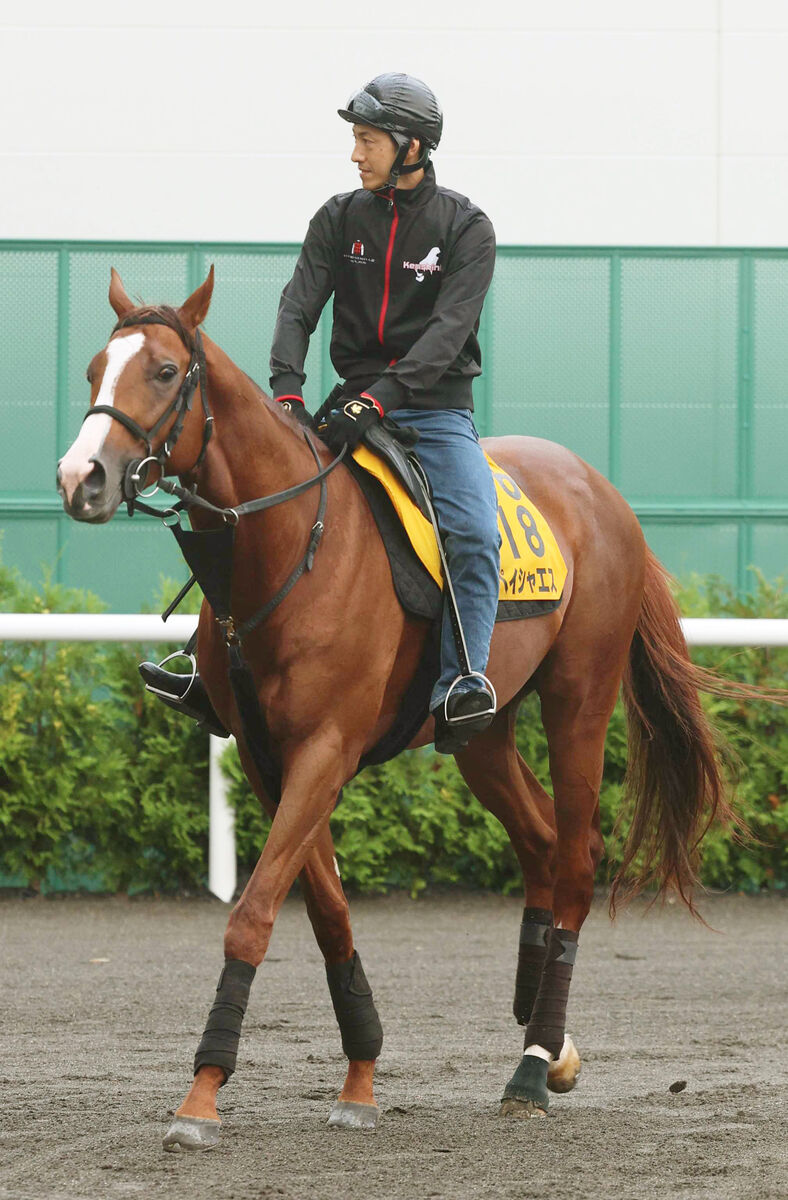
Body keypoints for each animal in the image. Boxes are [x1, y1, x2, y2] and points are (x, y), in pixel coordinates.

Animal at [58, 270, 734, 1142]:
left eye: (166, 372)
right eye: (94, 369)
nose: (82, 478)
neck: (290, 544)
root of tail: (604, 491)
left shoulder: (327, 747)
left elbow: (253, 913)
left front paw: (202, 1095)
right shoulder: (269, 758)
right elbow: (327, 915)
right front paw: (359, 1077)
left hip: (578, 699)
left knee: (579, 859)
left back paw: (533, 1063)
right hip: (479, 733)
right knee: (545, 842)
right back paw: (550, 1039)